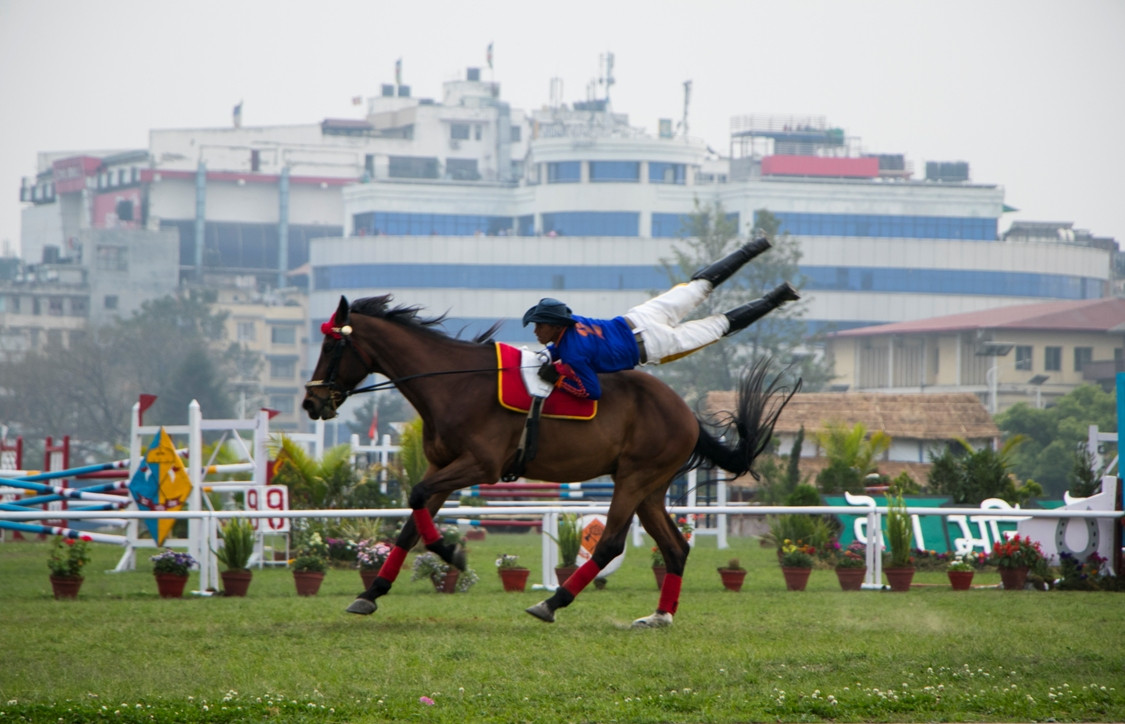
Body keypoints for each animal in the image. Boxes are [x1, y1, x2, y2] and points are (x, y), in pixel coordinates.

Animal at [303, 294, 796, 629]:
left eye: (330, 349)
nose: (311, 403)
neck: (454, 384)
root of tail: (686, 413)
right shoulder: (441, 467)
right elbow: (411, 519)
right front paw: (372, 591)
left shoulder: (479, 466)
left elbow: (418, 498)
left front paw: (451, 552)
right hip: (650, 488)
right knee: (675, 548)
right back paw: (659, 616)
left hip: (634, 480)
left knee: (610, 544)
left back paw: (552, 601)